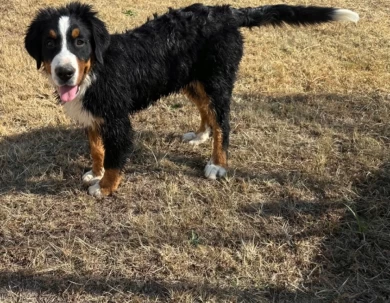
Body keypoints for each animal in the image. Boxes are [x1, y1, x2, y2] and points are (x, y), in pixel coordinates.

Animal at [24, 2, 360, 198]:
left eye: (80, 41)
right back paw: (200, 135)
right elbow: (97, 149)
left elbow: (115, 157)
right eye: (50, 43)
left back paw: (217, 164)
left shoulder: (118, 120)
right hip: (192, 80)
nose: (65, 73)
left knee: (223, 123)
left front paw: (104, 187)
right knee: (207, 113)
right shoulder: (93, 116)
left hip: (217, 80)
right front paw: (95, 172)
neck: (97, 69)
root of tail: (226, 11)